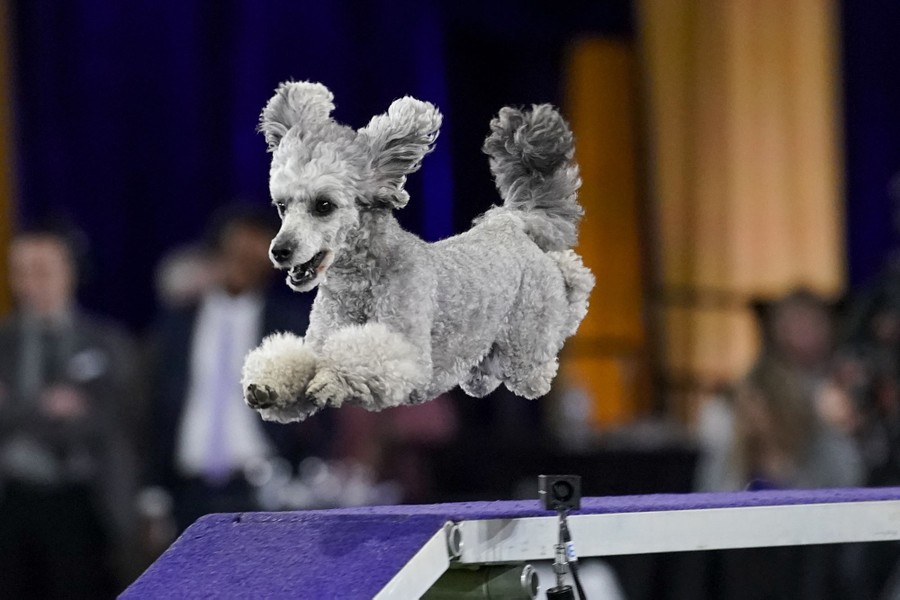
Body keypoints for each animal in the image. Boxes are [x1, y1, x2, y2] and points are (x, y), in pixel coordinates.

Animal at [239, 82, 596, 424]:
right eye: (282, 206)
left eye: (323, 205)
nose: (280, 251)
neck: (360, 285)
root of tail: (510, 221)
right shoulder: (321, 338)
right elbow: (300, 360)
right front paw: (270, 386)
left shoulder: (408, 352)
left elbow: (362, 358)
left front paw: (331, 378)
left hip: (528, 336)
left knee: (562, 298)